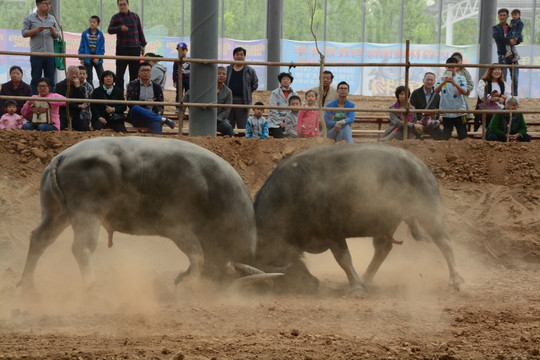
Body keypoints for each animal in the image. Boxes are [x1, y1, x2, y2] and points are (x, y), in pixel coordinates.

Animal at [254, 143, 464, 296]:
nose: (313, 285)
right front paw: (358, 284)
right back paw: (366, 278)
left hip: (428, 212)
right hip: (386, 221)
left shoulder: (333, 232)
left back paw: (456, 282)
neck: (290, 194)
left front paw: (355, 288)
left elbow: (343, 258)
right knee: (383, 249)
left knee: (444, 243)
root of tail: (421, 167)